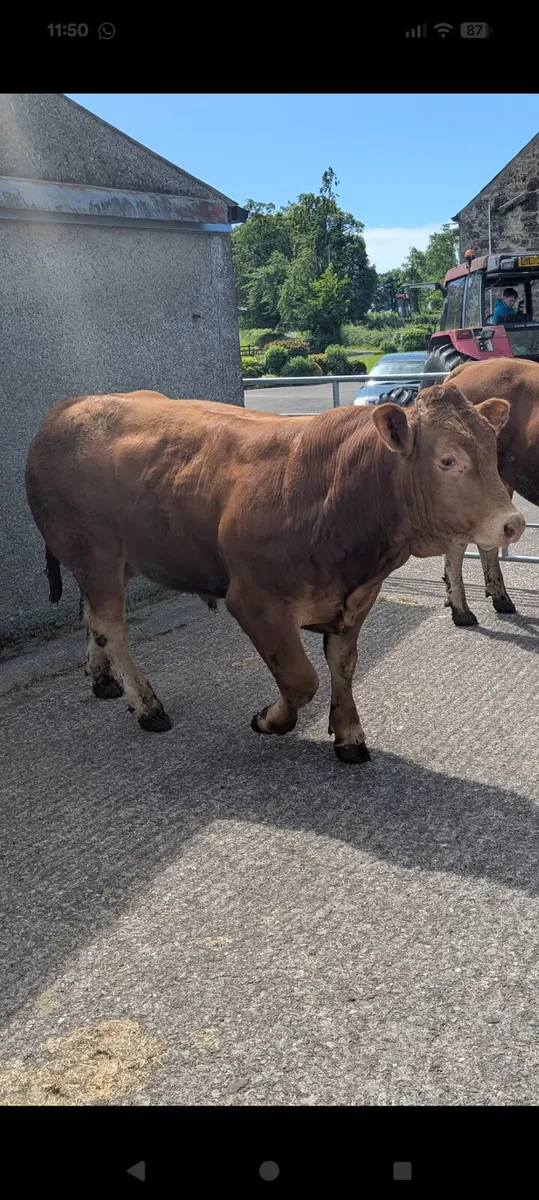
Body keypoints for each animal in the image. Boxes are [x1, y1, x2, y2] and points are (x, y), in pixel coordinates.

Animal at [25, 385, 524, 763]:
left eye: (491, 450)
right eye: (447, 460)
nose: (514, 523)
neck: (335, 492)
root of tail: (67, 407)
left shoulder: (357, 599)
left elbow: (342, 666)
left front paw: (349, 735)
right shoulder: (255, 600)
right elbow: (301, 679)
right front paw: (269, 719)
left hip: (110, 561)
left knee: (92, 617)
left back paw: (102, 678)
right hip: (96, 553)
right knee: (111, 626)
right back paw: (147, 706)